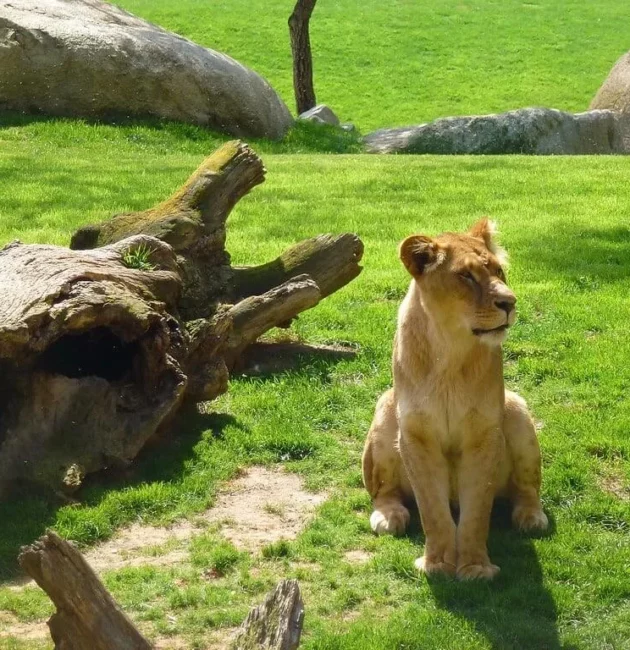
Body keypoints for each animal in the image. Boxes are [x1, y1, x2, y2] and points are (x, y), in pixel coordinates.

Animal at [362, 218, 552, 576]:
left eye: (498, 271)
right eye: (466, 276)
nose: (510, 302)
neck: (450, 350)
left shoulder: (484, 435)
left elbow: (476, 511)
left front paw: (475, 568)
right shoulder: (416, 436)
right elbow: (432, 510)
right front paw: (437, 564)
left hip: (517, 409)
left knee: (526, 489)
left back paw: (532, 518)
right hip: (384, 410)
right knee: (383, 491)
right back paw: (389, 517)